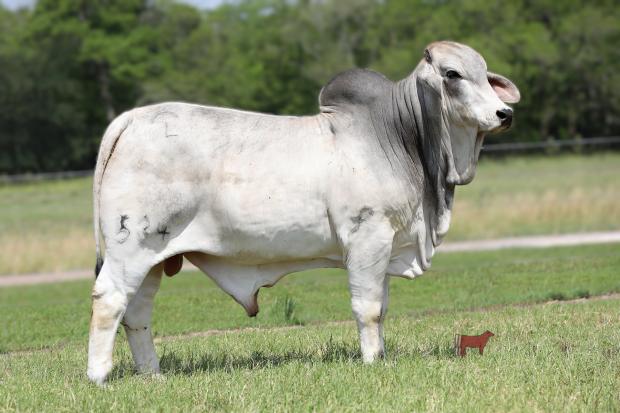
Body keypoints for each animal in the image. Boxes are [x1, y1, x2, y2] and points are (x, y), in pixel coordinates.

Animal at [89, 41, 520, 384]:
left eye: (485, 75)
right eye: (452, 74)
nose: (505, 114)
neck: (400, 138)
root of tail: (131, 118)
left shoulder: (387, 246)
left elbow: (381, 307)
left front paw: (380, 357)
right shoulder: (367, 238)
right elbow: (368, 309)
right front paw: (371, 362)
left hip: (154, 258)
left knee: (137, 312)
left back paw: (153, 376)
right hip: (131, 248)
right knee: (109, 300)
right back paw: (100, 377)